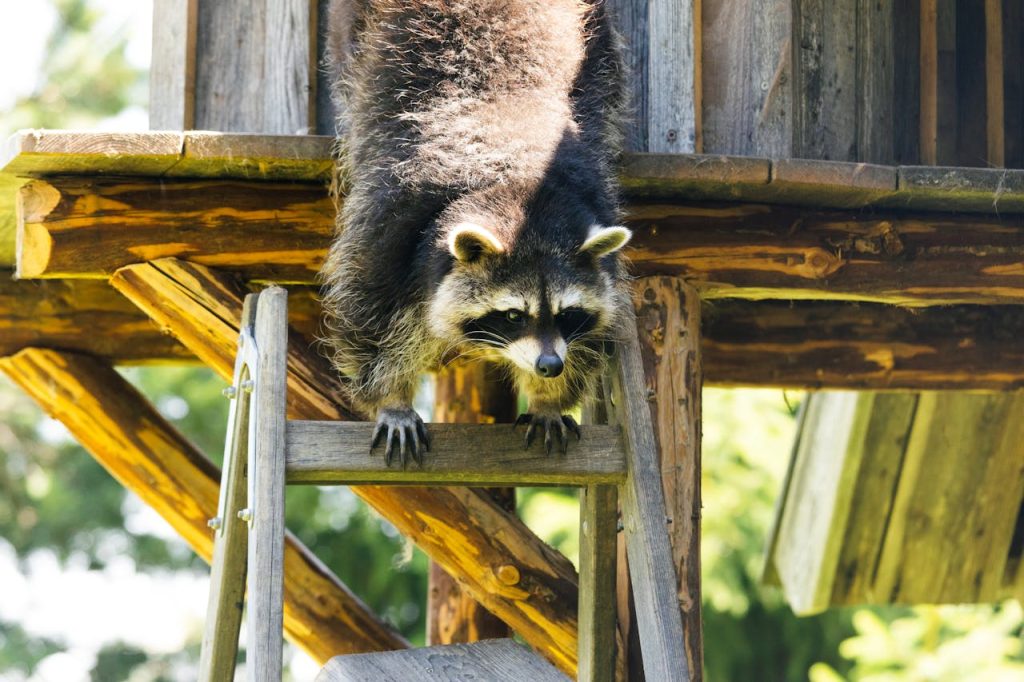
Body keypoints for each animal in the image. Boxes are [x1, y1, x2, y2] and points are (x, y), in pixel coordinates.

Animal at [321, 0, 632, 465]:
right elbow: (370, 318)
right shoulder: (391, 223)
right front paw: (392, 398)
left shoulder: (596, 204)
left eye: (567, 313)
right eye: (513, 315)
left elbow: (591, 340)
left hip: (597, 32)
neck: (521, 192)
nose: (549, 366)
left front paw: (549, 398)